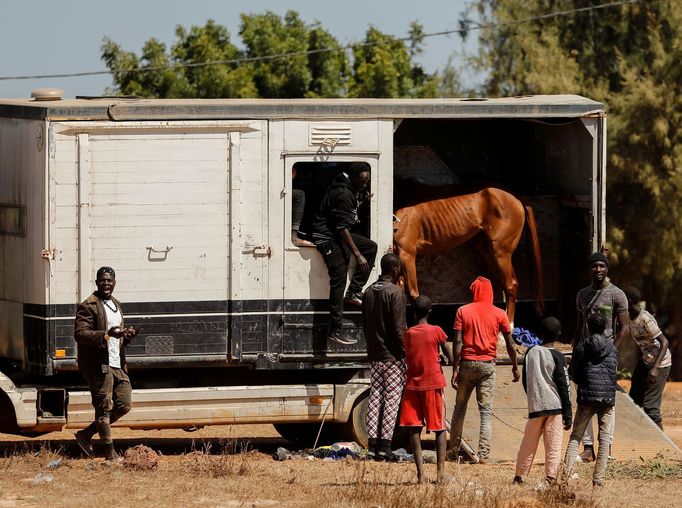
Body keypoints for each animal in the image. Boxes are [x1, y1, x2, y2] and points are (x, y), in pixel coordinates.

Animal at [394, 187, 540, 322]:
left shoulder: (407, 255)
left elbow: (413, 294)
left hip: (501, 253)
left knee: (511, 285)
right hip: (491, 254)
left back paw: (508, 326)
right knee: (507, 284)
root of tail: (518, 201)